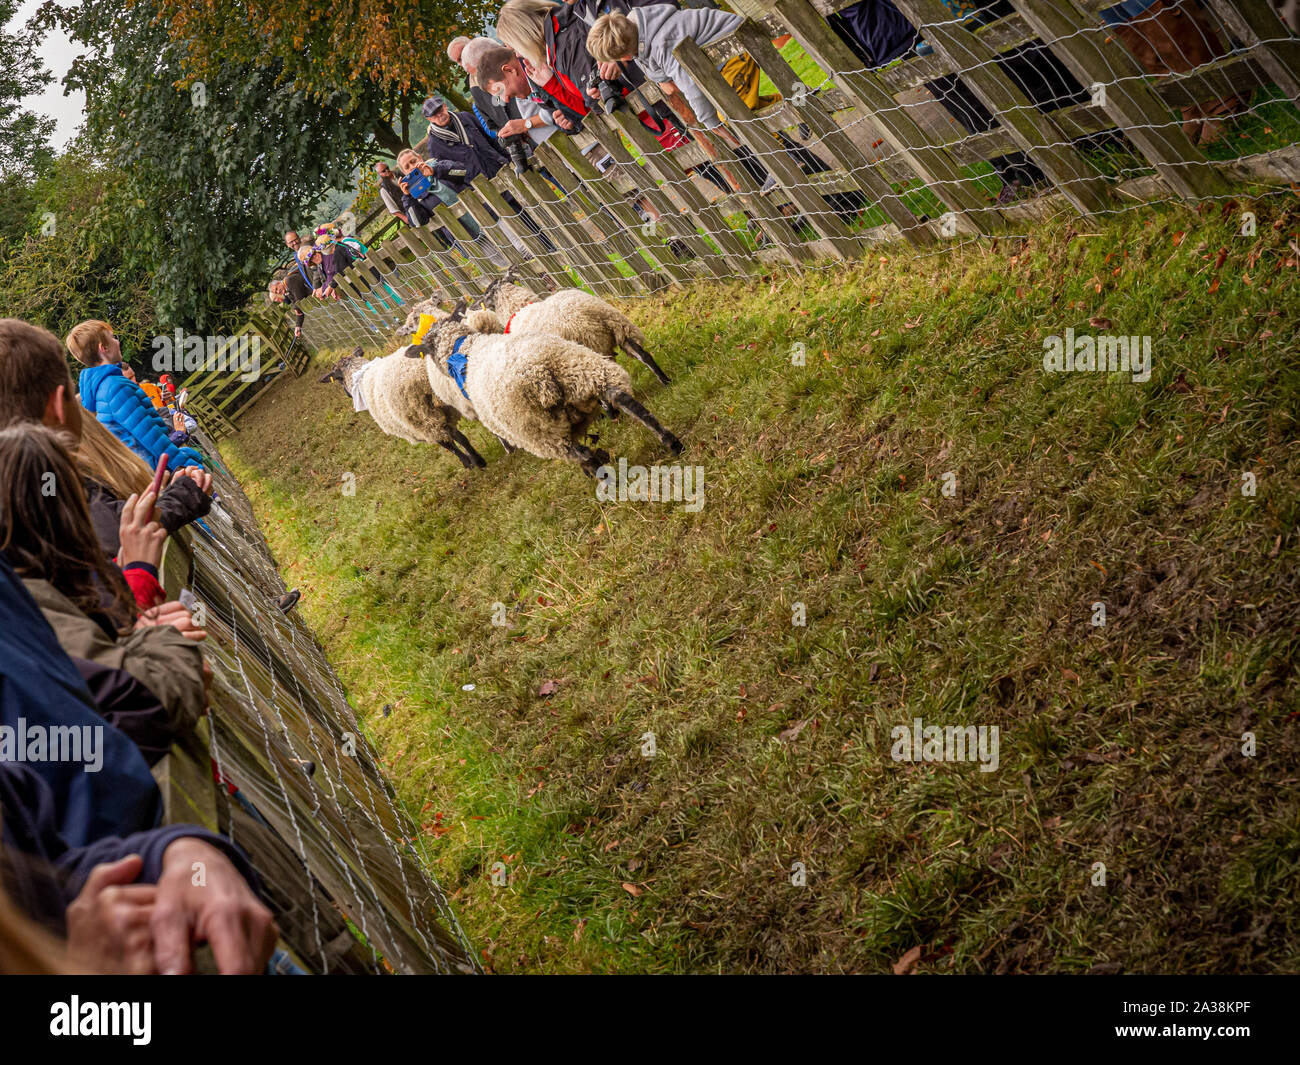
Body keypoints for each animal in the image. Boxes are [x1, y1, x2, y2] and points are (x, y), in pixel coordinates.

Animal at [408, 308, 681, 475]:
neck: (467, 350)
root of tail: (540, 369)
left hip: (540, 430)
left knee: (580, 453)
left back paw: (603, 480)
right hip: (589, 371)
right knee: (630, 404)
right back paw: (673, 444)